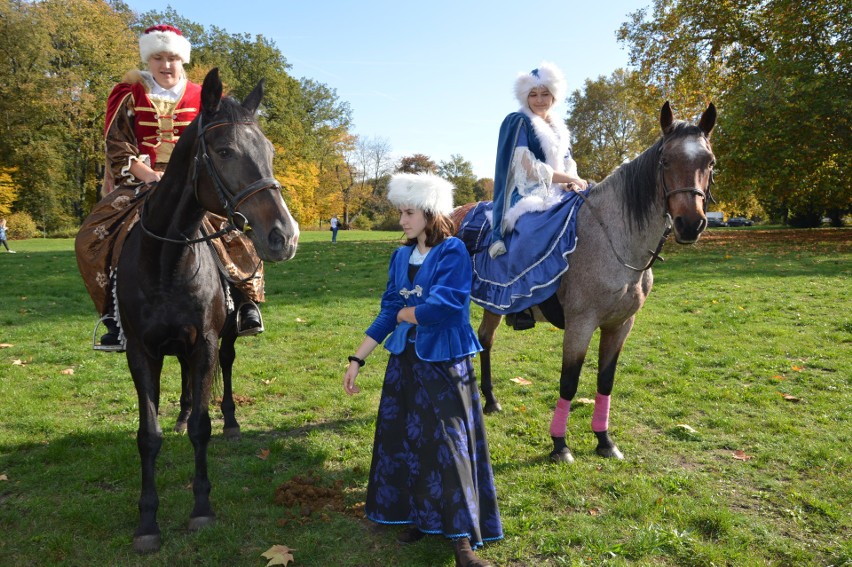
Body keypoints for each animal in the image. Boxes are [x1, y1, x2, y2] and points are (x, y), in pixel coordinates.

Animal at [112, 69, 300, 552]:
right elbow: (148, 435)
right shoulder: (140, 352)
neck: (167, 262)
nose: (284, 236)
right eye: (224, 151)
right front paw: (147, 522)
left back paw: (230, 421)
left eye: (269, 151)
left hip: (225, 338)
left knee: (227, 369)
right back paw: (178, 415)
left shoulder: (208, 343)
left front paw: (201, 508)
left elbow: (203, 427)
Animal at [470, 102, 716, 464]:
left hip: (494, 305)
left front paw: (604, 440)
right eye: (665, 161)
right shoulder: (581, 324)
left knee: (485, 340)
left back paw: (490, 400)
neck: (613, 240)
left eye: (709, 162)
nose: (691, 224)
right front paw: (560, 445)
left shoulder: (620, 325)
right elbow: (569, 382)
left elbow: (605, 381)